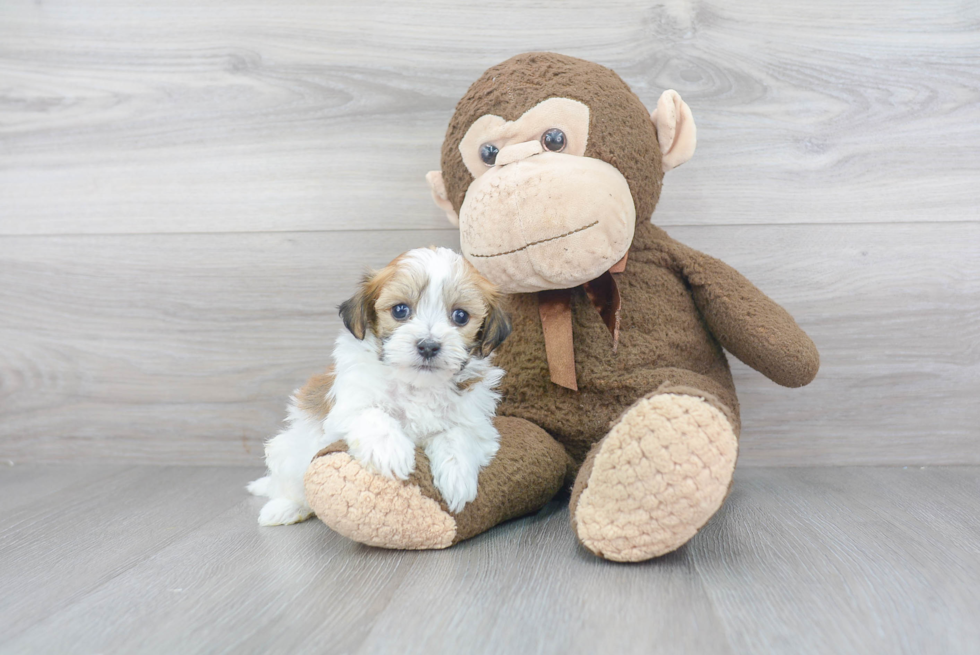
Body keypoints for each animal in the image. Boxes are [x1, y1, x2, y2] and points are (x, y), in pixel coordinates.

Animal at [247, 247, 512, 528]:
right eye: (400, 310)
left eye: (460, 316)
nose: (428, 346)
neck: (416, 385)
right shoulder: (348, 406)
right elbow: (372, 414)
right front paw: (391, 451)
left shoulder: (475, 422)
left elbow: (458, 436)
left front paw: (457, 477)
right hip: (289, 452)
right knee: (295, 486)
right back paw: (285, 508)